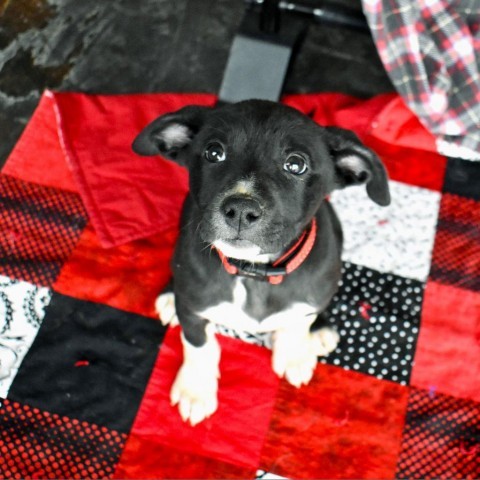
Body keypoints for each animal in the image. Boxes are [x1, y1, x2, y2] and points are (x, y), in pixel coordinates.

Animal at [132, 100, 390, 424]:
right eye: (213, 152)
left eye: (296, 164)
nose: (241, 209)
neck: (253, 273)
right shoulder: (193, 310)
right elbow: (200, 345)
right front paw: (196, 388)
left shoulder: (308, 297)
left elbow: (298, 322)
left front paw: (294, 353)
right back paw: (169, 296)